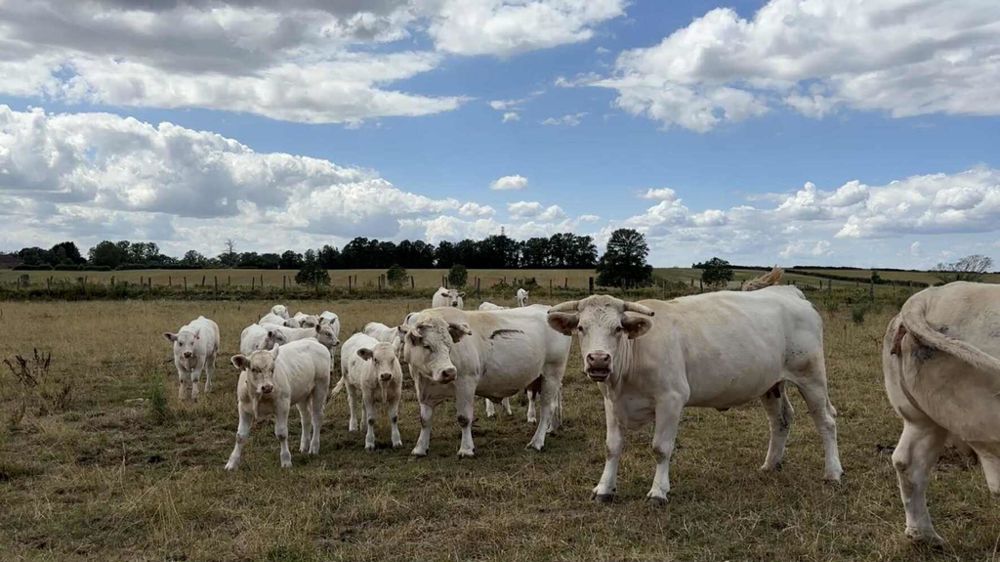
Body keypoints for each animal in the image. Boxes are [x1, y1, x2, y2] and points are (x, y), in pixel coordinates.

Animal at [225, 339, 331, 470]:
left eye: (272, 369)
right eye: (254, 369)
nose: (267, 387)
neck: (260, 396)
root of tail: (313, 341)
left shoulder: (282, 405)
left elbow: (281, 434)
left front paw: (286, 460)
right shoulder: (243, 408)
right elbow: (240, 436)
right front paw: (232, 463)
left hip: (320, 388)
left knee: (317, 418)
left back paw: (314, 447)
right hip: (302, 394)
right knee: (305, 418)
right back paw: (304, 446)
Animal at [402, 304, 571, 457]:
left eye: (449, 346)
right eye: (426, 345)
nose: (449, 372)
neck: (428, 378)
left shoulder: (466, 384)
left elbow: (464, 418)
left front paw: (466, 449)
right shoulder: (424, 391)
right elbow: (425, 420)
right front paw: (420, 448)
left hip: (552, 374)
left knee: (547, 408)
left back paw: (537, 442)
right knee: (555, 403)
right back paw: (553, 427)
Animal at [546, 290, 842, 503]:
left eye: (618, 328)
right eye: (581, 327)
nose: (598, 360)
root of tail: (789, 293)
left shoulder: (671, 399)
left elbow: (661, 448)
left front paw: (658, 492)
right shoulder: (612, 402)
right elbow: (612, 447)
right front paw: (604, 488)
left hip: (812, 376)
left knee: (826, 421)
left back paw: (833, 472)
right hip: (772, 384)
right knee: (780, 420)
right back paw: (771, 464)